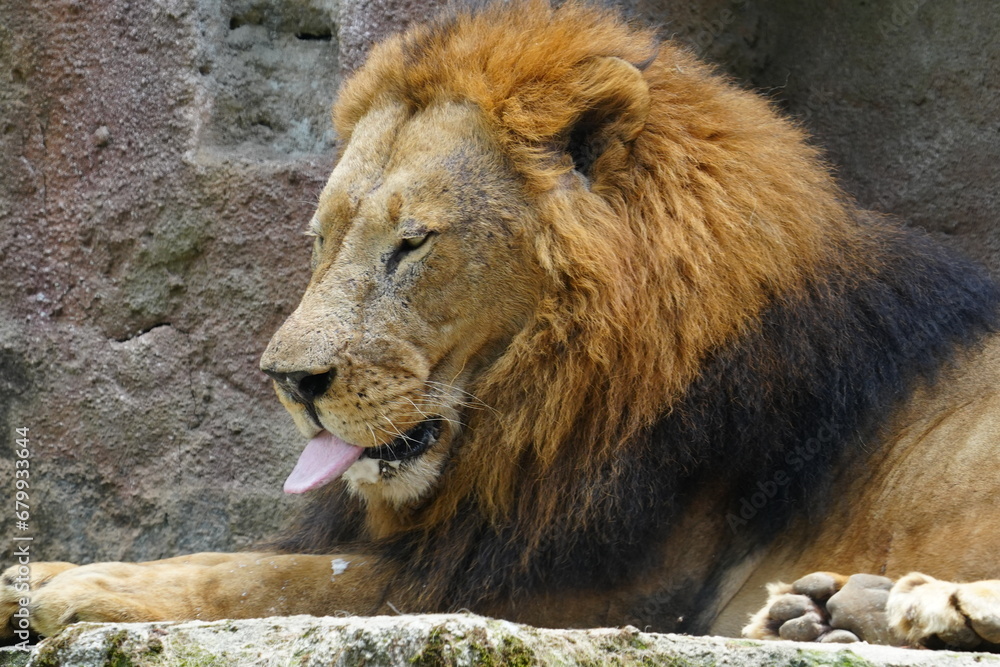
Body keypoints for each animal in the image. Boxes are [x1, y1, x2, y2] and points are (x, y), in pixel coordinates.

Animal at [4, 0, 1000, 651]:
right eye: (322, 238)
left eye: (411, 243)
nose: (289, 381)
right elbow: (264, 555)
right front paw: (35, 574)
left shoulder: (597, 589)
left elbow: (285, 575)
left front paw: (87, 587)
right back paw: (830, 611)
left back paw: (925, 610)